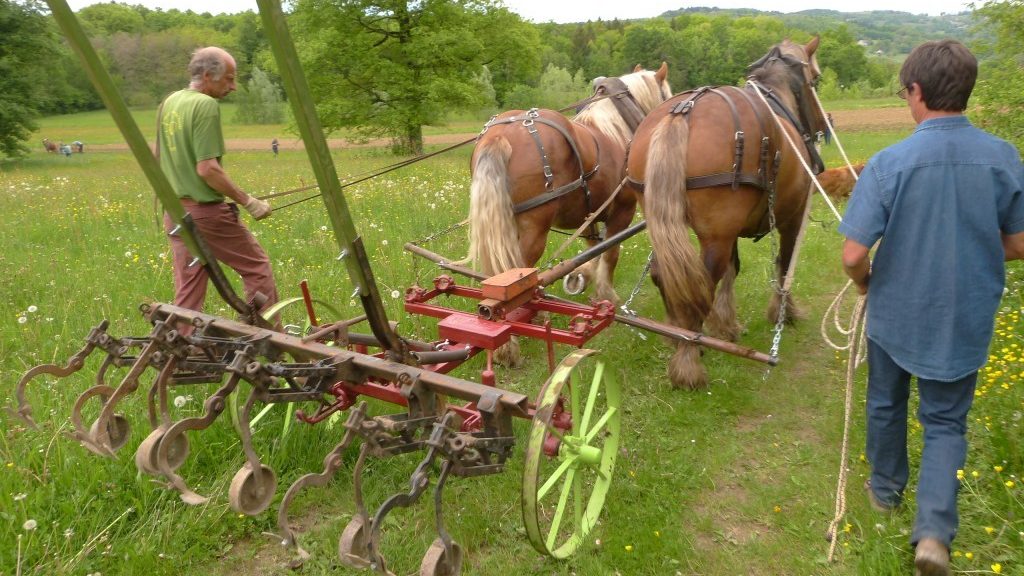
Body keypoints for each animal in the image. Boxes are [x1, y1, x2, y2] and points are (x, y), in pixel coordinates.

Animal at [466, 63, 671, 305]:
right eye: (667, 96)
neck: (616, 130)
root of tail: (501, 136)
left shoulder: (589, 213)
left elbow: (594, 248)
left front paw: (583, 277)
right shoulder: (623, 210)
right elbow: (610, 253)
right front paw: (606, 295)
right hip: (532, 228)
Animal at [622, 34, 831, 385]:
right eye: (815, 79)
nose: (823, 126)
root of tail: (682, 112)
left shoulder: (729, 228)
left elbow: (734, 268)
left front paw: (725, 324)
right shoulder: (792, 217)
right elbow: (785, 265)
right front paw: (784, 312)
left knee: (667, 274)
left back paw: (674, 333)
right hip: (717, 232)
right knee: (702, 281)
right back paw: (688, 362)